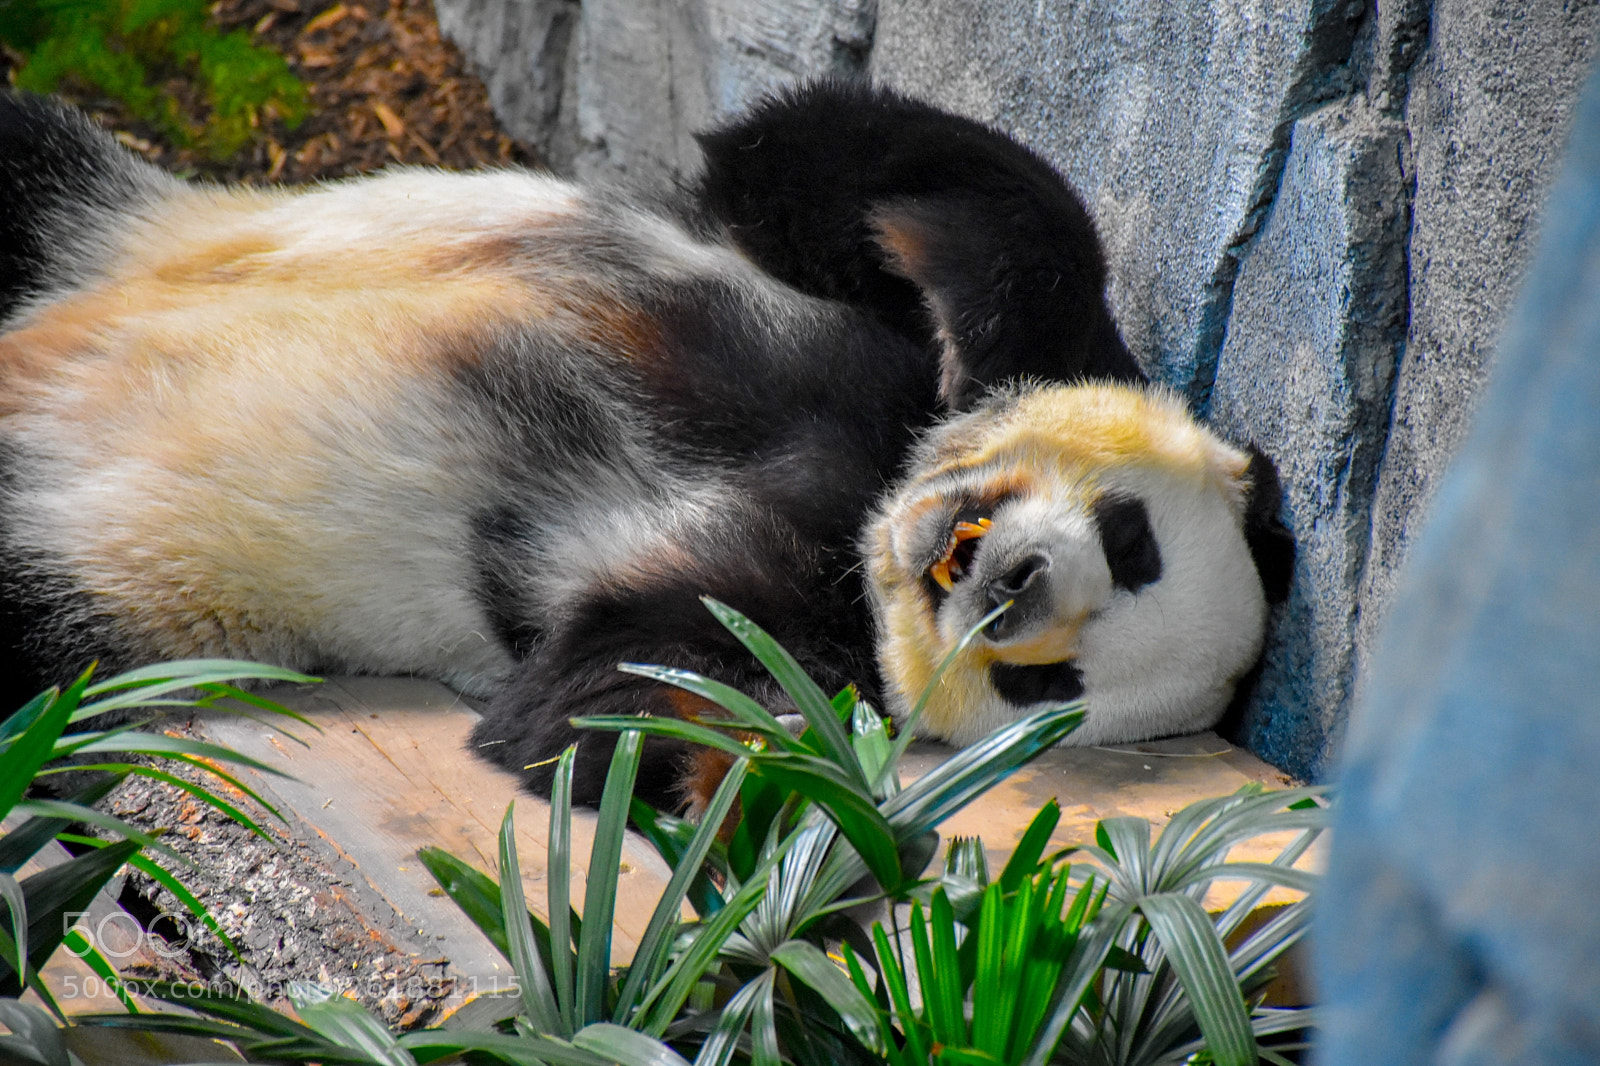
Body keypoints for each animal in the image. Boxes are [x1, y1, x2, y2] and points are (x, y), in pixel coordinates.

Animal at [0, 81, 1292, 810]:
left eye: (1048, 686)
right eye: (1132, 540)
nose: (1014, 585)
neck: (869, 506)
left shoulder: (788, 621)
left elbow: (587, 708)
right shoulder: (801, 282)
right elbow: (831, 158)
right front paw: (982, 335)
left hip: (111, 579)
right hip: (94, 217)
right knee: (33, 158)